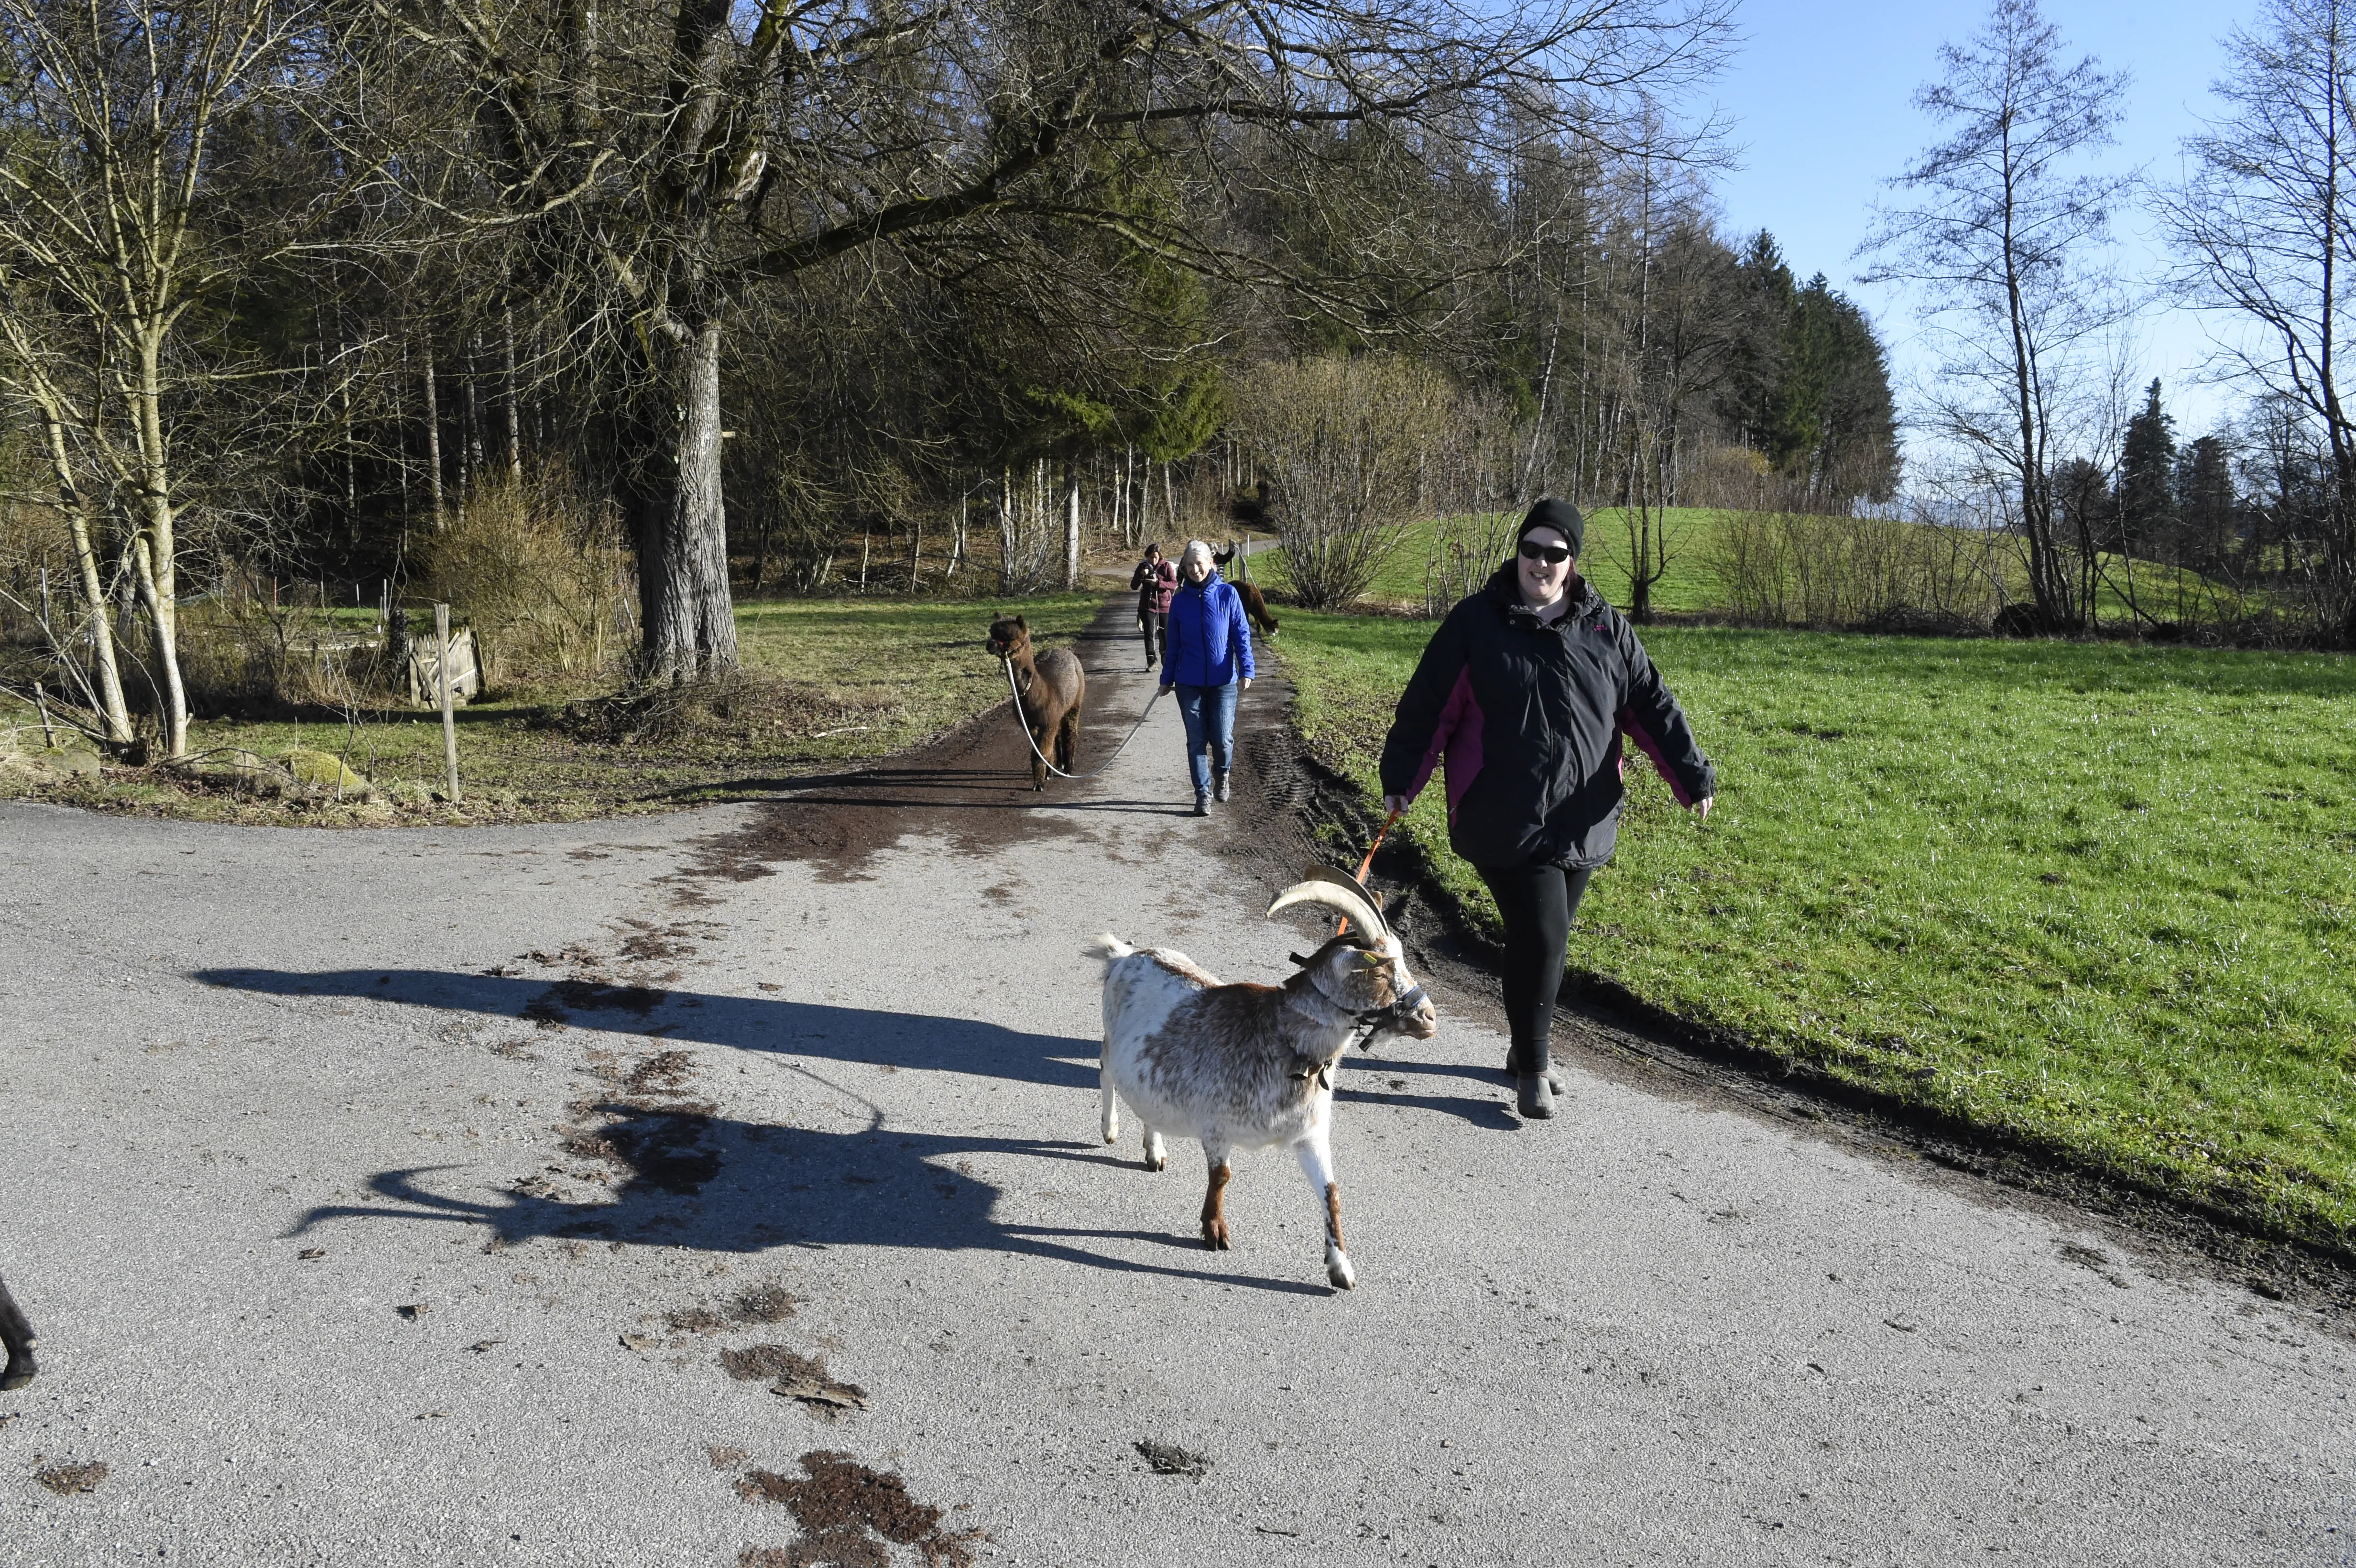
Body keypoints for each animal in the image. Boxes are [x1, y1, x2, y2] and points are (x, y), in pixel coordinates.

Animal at [984, 607, 1083, 782]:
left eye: (1009, 636)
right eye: (992, 633)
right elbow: (1038, 752)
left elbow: (1041, 753)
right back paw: (1057, 766)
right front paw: (1045, 775)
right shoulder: (1032, 724)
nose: (990, 644)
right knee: (1058, 738)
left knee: (1070, 733)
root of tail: (1066, 652)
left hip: (1076, 701)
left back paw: (1068, 768)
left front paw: (1039, 784)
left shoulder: (1048, 721)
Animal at [1083, 866, 1432, 1281]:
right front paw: (1214, 1232)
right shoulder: (1216, 1127)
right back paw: (1109, 1128)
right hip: (1110, 1039)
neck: (1286, 1044)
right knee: (1105, 1068)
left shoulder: (1311, 1135)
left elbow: (1331, 1192)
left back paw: (1155, 1151)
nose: (1428, 1018)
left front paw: (1341, 1268)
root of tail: (1126, 956)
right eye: (1379, 971)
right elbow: (1221, 1177)